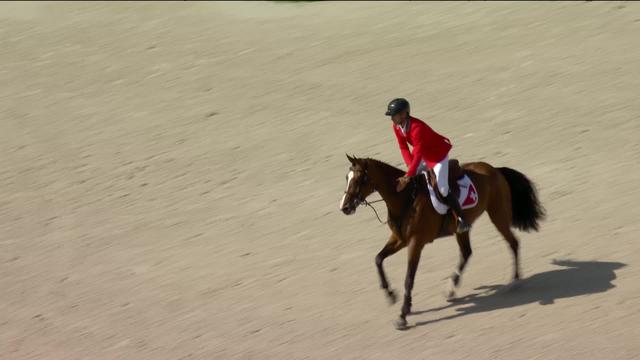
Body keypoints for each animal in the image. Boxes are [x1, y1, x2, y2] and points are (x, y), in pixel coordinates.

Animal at [338, 154, 544, 330]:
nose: (344, 207)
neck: (405, 198)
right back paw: (451, 289)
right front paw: (390, 295)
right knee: (467, 252)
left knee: (513, 243)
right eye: (347, 177)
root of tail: (495, 169)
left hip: (497, 214)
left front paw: (403, 315)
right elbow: (378, 259)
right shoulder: (399, 239)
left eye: (358, 179)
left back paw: (515, 281)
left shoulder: (416, 243)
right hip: (462, 229)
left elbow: (409, 279)